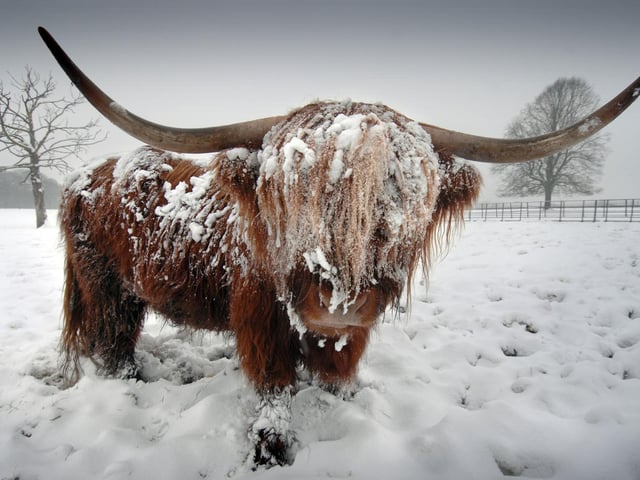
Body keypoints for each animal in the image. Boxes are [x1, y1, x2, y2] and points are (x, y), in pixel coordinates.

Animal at [39, 27, 639, 467]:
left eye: (401, 201)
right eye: (286, 196)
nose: (334, 304)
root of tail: (83, 178)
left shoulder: (345, 340)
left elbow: (336, 377)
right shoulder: (260, 322)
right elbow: (274, 393)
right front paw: (270, 448)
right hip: (106, 286)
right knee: (111, 342)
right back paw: (129, 381)